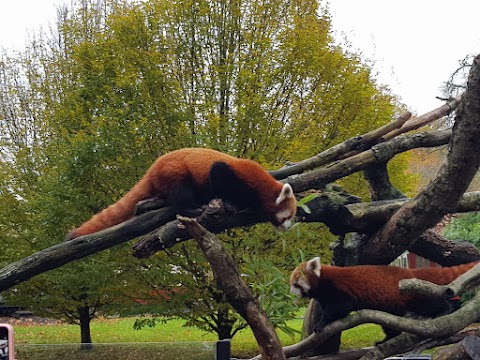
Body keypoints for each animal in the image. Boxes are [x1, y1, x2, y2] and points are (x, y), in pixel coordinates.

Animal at [64, 148, 296, 240]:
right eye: (287, 216)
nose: (288, 228)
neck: (259, 187)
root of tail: (153, 168)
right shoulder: (233, 174)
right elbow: (219, 178)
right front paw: (231, 204)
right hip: (175, 173)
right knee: (180, 194)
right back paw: (192, 208)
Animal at [290, 256, 478, 344]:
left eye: (296, 284)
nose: (291, 293)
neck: (323, 280)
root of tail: (410, 272)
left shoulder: (338, 290)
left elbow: (340, 308)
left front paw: (321, 323)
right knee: (390, 326)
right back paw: (385, 339)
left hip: (411, 294)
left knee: (430, 303)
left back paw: (445, 309)